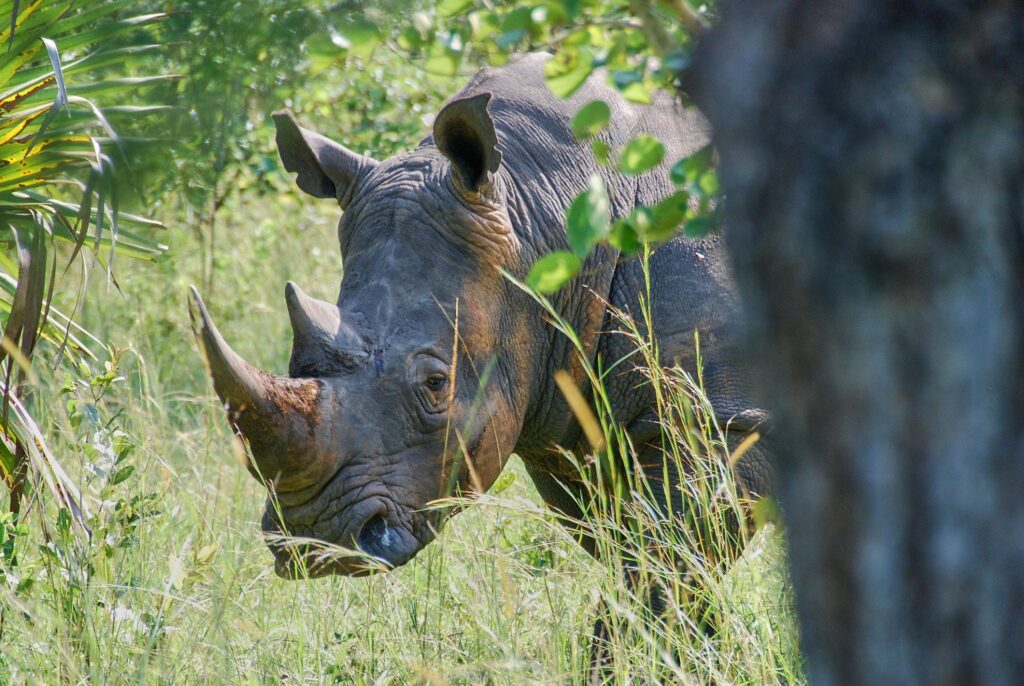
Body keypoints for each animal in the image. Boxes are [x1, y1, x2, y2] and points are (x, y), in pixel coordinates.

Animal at [189, 54, 772, 579]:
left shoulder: (717, 418)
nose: (316, 541)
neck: (539, 210)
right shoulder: (564, 419)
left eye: (435, 383)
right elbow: (632, 559)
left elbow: (668, 564)